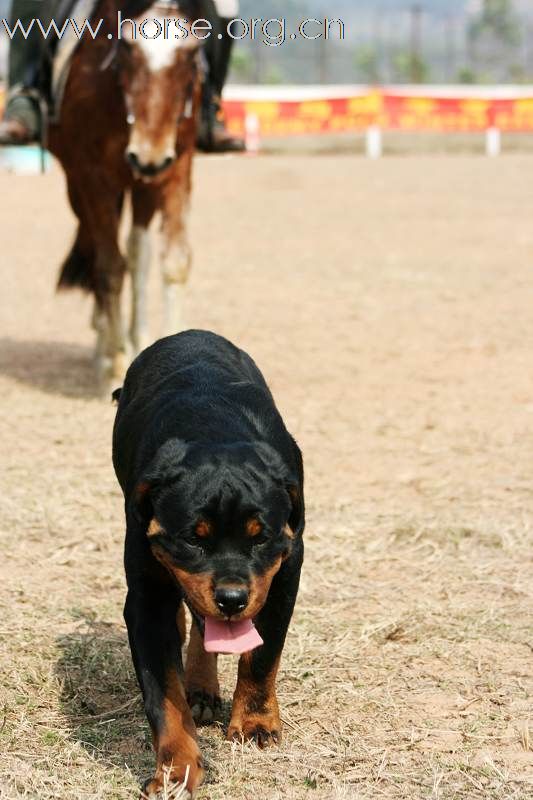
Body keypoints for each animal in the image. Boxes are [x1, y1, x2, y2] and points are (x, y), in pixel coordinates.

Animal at [48, 0, 202, 390]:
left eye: (191, 54)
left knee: (137, 252)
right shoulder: (92, 176)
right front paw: (113, 362)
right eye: (128, 49)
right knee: (97, 251)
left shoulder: (175, 169)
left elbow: (172, 262)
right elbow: (109, 267)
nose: (147, 157)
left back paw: (136, 339)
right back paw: (105, 344)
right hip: (80, 186)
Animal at [112, 328, 304, 796]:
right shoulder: (146, 599)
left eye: (261, 537)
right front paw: (175, 769)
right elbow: (164, 696)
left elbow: (263, 654)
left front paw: (254, 723)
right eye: (192, 540)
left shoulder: (285, 573)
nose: (232, 598)